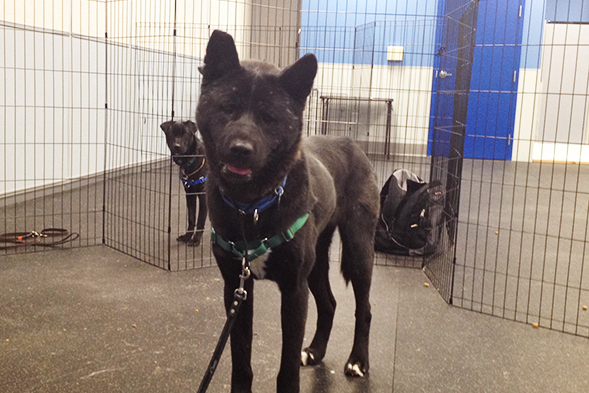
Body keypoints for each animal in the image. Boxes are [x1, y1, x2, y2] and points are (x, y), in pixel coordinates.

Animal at [196, 30, 376, 392]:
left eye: (269, 117)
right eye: (228, 108)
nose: (240, 150)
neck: (251, 207)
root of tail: (351, 143)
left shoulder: (294, 291)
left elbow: (287, 366)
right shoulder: (236, 289)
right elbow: (241, 360)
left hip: (359, 250)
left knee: (363, 308)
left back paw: (357, 360)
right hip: (317, 261)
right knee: (330, 303)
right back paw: (317, 350)